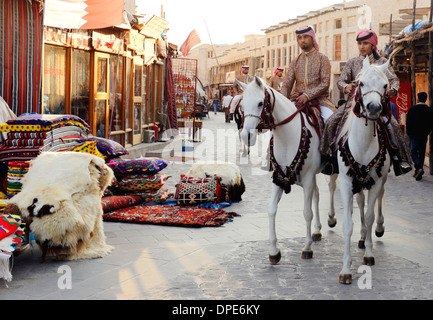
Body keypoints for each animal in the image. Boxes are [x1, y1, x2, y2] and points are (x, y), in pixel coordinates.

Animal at [236, 76, 338, 264]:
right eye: (242, 105)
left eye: (260, 103)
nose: (246, 136)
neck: (287, 137)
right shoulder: (279, 177)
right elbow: (271, 210)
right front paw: (274, 251)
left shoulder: (307, 179)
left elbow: (307, 212)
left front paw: (307, 248)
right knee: (317, 194)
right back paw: (317, 230)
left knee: (335, 189)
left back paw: (334, 219)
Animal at [336, 58, 394, 284]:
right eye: (360, 83)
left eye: (385, 85)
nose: (374, 108)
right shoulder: (345, 183)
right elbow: (348, 224)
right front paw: (345, 269)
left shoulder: (376, 181)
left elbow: (369, 216)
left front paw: (368, 254)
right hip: (357, 182)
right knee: (360, 202)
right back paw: (361, 237)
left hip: (380, 180)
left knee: (376, 203)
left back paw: (377, 229)